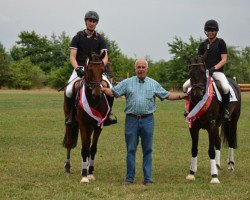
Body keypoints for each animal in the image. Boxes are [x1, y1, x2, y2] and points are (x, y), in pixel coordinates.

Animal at [62, 51, 109, 183]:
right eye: (89, 69)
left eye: (102, 69)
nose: (97, 92)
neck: (93, 101)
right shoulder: (83, 125)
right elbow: (84, 150)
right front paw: (84, 176)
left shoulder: (98, 126)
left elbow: (92, 149)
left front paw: (90, 172)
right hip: (71, 122)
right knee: (69, 143)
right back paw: (67, 169)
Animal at [186, 55, 240, 184]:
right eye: (190, 73)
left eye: (202, 72)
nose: (198, 93)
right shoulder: (194, 127)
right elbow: (194, 149)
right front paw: (191, 173)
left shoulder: (211, 126)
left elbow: (211, 150)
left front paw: (214, 177)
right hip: (217, 124)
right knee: (218, 141)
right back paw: (217, 164)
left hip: (233, 120)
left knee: (231, 141)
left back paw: (230, 165)